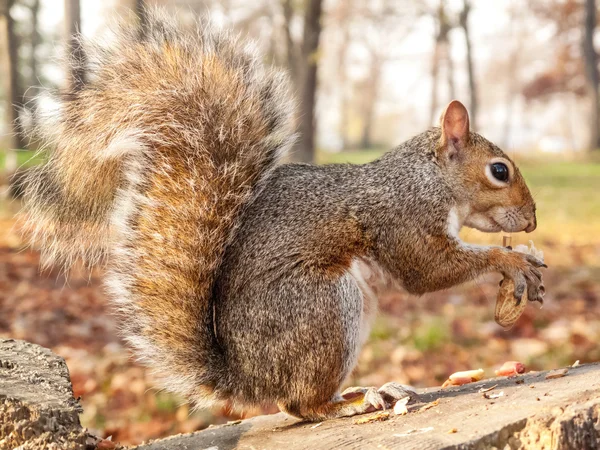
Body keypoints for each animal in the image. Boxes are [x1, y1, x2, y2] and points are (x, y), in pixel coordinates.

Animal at [18, 8, 548, 420]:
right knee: (298, 404)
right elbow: (427, 269)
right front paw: (511, 260)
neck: (429, 178)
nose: (532, 221)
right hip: (324, 306)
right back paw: (346, 403)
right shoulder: (403, 217)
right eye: (499, 171)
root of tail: (248, 379)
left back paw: (367, 391)